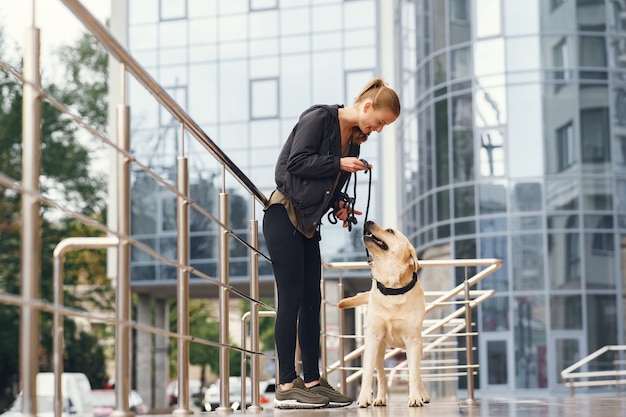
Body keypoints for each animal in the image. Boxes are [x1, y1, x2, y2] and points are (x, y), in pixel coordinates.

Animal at [336, 221, 428, 406]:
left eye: (390, 231)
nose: (368, 221)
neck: (392, 289)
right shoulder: (373, 338)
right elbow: (367, 373)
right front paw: (364, 397)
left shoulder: (413, 341)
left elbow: (414, 375)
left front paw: (415, 397)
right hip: (379, 351)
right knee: (382, 375)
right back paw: (380, 398)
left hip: (418, 347)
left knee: (417, 373)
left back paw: (423, 394)